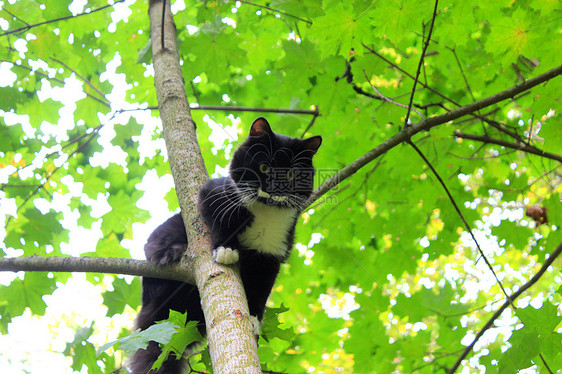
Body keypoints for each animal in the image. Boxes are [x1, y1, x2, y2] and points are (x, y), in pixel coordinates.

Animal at [128, 117, 320, 374]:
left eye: (289, 175)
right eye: (264, 167)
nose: (274, 188)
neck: (265, 210)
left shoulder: (271, 253)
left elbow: (261, 289)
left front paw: (252, 318)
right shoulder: (211, 193)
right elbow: (221, 223)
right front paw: (226, 251)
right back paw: (171, 253)